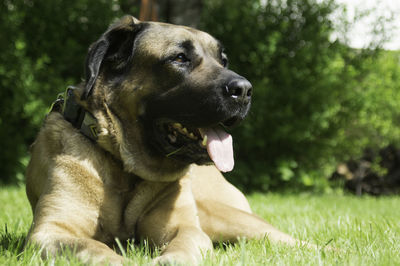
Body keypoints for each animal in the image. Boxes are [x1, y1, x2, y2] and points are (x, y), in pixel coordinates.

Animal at [25, 16, 304, 264]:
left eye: (223, 60)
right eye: (179, 58)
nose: (244, 90)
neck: (125, 169)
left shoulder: (184, 228)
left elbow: (184, 244)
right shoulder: (52, 229)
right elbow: (93, 248)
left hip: (229, 218)